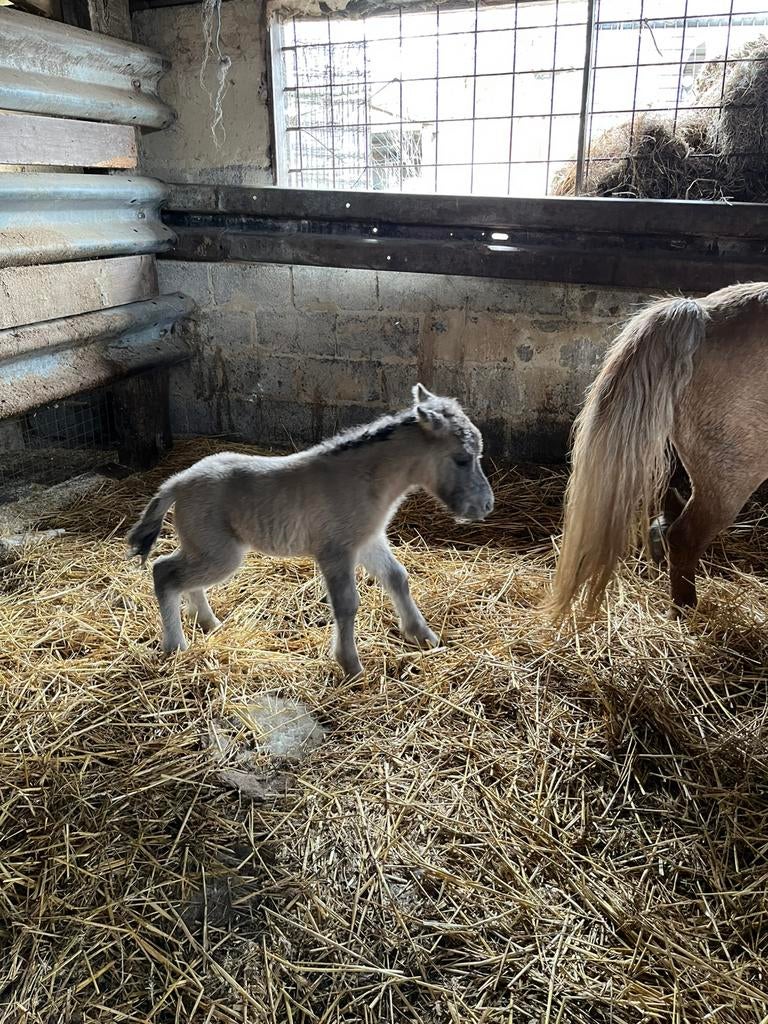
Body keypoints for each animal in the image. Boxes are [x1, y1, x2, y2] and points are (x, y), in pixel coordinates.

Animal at [127, 384, 494, 675]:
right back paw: (176, 645)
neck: (365, 479)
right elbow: (346, 603)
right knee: (165, 573)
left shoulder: (369, 541)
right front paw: (350, 665)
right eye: (462, 458)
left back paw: (209, 623)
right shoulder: (336, 552)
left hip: (202, 547)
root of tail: (176, 482)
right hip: (219, 554)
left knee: (183, 578)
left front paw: (423, 636)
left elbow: (397, 578)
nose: (485, 506)